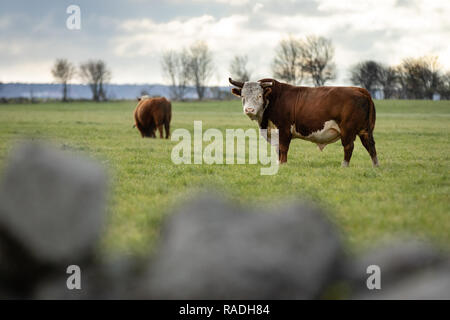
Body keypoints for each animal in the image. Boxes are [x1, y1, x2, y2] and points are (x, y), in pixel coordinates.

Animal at [230, 78, 378, 168]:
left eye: (259, 96)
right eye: (243, 96)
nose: (249, 109)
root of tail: (358, 89)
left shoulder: (284, 130)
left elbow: (283, 149)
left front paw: (283, 165)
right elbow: (278, 150)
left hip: (347, 130)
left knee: (349, 147)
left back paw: (344, 165)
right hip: (365, 131)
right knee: (370, 145)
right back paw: (375, 166)